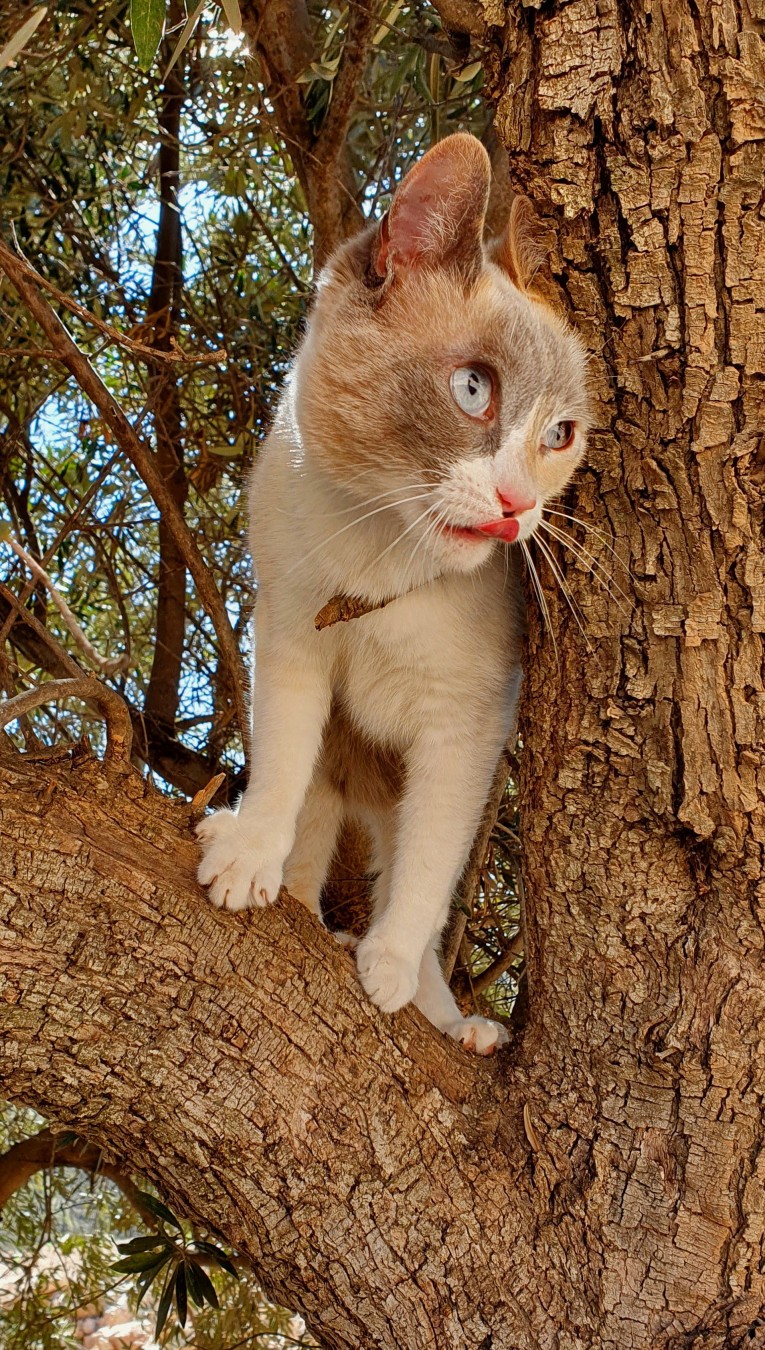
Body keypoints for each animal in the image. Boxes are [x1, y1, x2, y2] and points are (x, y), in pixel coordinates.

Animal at [196, 131, 593, 1053]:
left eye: (560, 435)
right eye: (473, 389)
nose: (517, 505)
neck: (381, 550)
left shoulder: (467, 724)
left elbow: (428, 865)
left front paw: (390, 970)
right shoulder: (291, 635)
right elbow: (282, 766)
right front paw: (251, 857)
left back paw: (447, 1017)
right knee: (316, 819)